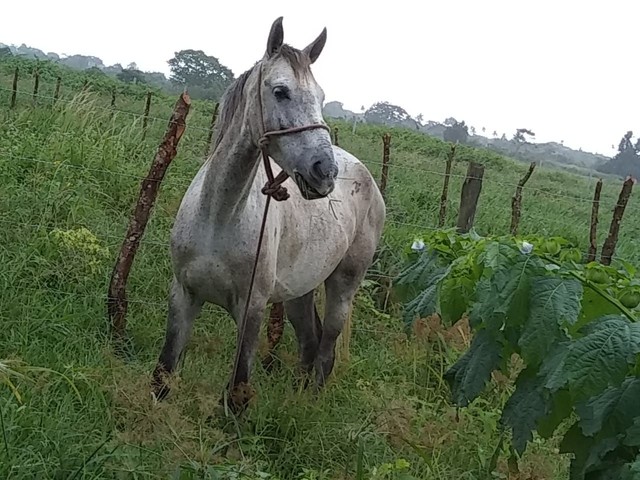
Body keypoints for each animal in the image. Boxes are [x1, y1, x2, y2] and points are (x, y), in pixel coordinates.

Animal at [151, 15, 384, 412]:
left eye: (322, 97)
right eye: (280, 91)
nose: (324, 172)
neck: (220, 217)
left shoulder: (252, 311)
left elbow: (237, 393)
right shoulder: (183, 296)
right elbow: (162, 376)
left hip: (343, 286)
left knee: (325, 352)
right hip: (298, 293)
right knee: (309, 344)